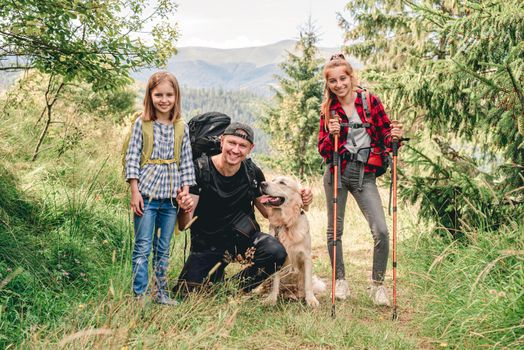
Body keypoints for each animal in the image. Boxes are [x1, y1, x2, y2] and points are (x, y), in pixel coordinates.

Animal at [258, 176, 322, 308]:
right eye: (273, 179)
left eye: (282, 183)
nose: (262, 183)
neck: (286, 223)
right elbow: (275, 282)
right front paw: (271, 299)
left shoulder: (307, 257)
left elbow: (308, 283)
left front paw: (311, 300)